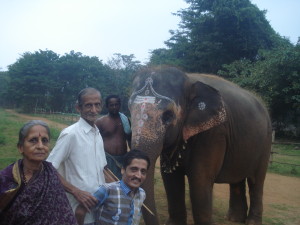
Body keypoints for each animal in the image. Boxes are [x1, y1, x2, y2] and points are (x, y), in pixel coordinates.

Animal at [127, 66, 274, 224]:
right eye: (129, 111)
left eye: (168, 116)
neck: (189, 79)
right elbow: (171, 178)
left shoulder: (214, 132)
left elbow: (200, 180)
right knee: (237, 180)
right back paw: (234, 219)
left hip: (266, 141)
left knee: (256, 180)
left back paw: (251, 221)